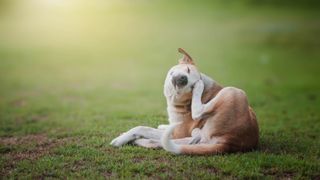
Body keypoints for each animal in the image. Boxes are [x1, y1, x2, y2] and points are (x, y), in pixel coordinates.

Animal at [109, 48, 258, 155]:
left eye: (191, 87)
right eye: (187, 69)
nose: (183, 79)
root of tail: (231, 142)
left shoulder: (178, 132)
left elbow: (142, 128)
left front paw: (120, 140)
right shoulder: (177, 131)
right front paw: (162, 126)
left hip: (234, 91)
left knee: (196, 115)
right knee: (178, 142)